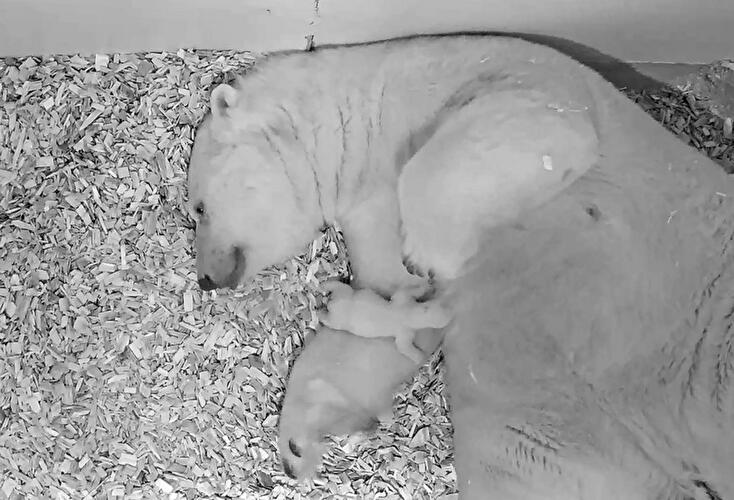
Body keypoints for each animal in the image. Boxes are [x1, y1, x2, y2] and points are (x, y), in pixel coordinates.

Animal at [187, 34, 734, 499]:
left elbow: (537, 125)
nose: (206, 277)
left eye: (197, 207)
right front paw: (299, 438)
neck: (363, 124)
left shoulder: (497, 72)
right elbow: (383, 323)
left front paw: (430, 258)